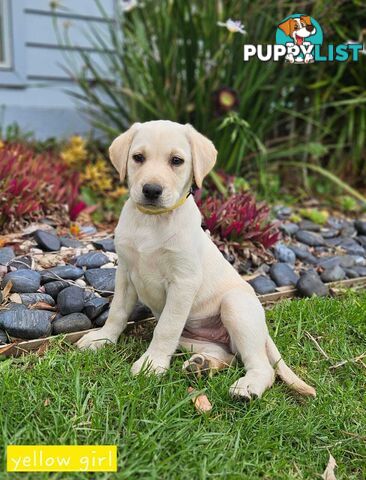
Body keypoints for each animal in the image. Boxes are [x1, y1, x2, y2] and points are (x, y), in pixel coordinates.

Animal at [76, 121, 314, 402]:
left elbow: (166, 328)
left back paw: (247, 387)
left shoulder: (183, 281)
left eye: (176, 161)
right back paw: (202, 365)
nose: (151, 190)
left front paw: (151, 364)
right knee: (228, 355)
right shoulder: (125, 274)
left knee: (262, 366)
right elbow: (117, 312)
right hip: (192, 338)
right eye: (138, 158)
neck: (152, 221)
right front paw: (102, 340)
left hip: (235, 306)